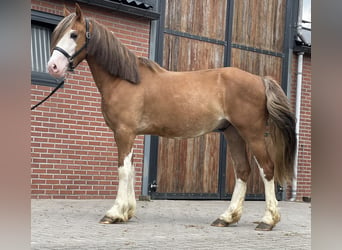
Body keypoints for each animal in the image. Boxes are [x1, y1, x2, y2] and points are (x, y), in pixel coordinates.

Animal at [48, 3, 296, 231]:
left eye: (74, 34)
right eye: (58, 34)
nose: (53, 67)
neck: (124, 80)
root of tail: (260, 79)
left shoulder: (123, 132)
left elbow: (123, 170)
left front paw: (115, 213)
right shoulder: (130, 134)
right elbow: (131, 169)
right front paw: (127, 212)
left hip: (252, 134)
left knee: (267, 169)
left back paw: (267, 220)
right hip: (233, 133)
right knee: (243, 171)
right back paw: (226, 218)